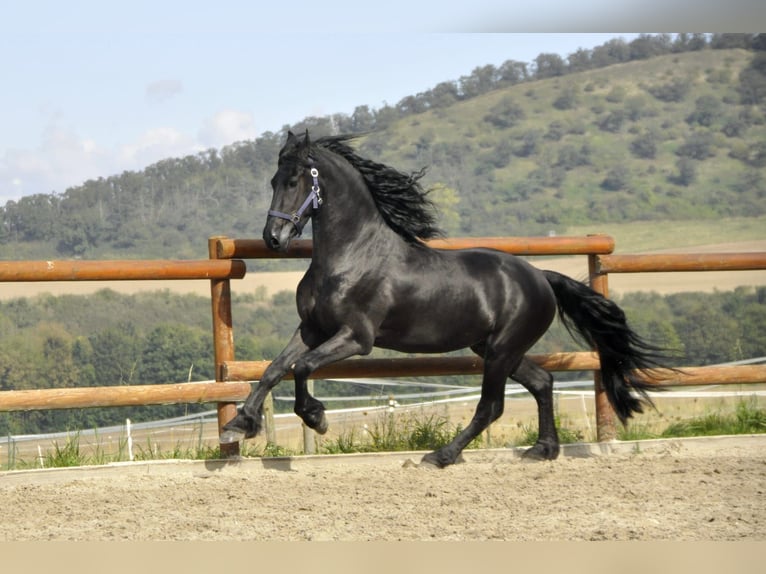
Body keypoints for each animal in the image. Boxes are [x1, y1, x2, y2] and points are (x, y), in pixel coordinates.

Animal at [222, 130, 664, 468]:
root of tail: (541, 276)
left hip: (502, 350)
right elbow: (275, 369)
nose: (273, 238)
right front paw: (240, 425)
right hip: (495, 348)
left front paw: (316, 418)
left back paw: (442, 455)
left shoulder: (355, 337)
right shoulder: (313, 328)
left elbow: (301, 367)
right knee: (542, 382)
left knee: (491, 406)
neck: (351, 256)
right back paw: (542, 450)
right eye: (273, 180)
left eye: (294, 180)